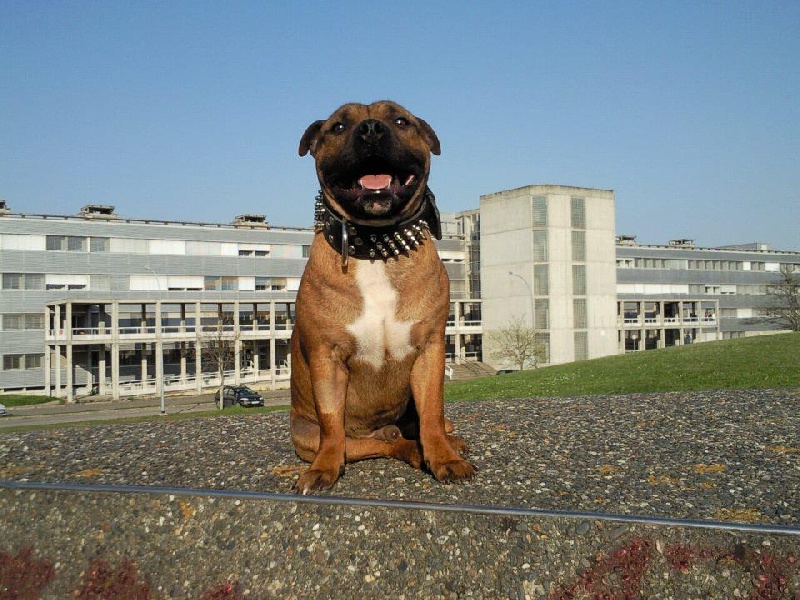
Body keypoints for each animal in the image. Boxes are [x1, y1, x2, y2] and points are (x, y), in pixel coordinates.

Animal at [290, 100, 475, 493]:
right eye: (339, 126)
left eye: (401, 121)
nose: (372, 129)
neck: (375, 245)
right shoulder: (327, 358)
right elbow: (332, 422)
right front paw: (324, 468)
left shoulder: (429, 349)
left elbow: (432, 412)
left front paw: (444, 458)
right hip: (305, 435)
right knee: (378, 444)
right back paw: (409, 449)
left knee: (429, 425)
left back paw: (447, 443)